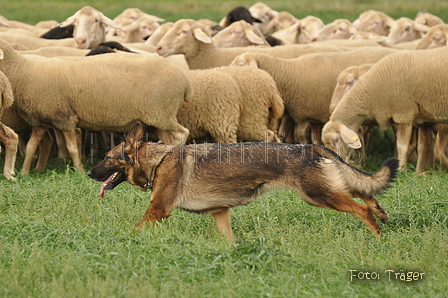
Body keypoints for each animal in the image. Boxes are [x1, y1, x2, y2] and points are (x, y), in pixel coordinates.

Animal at [0, 37, 191, 172]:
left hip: (162, 113)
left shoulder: (65, 118)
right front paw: (24, 172)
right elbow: (31, 146)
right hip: (158, 117)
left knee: (182, 133)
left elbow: (72, 147)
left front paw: (79, 170)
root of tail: (184, 78)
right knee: (166, 139)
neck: (23, 70)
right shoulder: (41, 120)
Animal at [87, 121, 400, 242]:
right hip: (324, 192)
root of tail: (311, 147)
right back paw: (383, 214)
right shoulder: (220, 213)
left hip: (319, 196)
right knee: (364, 192)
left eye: (107, 157)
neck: (160, 159)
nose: (89, 174)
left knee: (362, 209)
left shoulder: (157, 211)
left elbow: (133, 231)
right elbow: (230, 241)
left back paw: (378, 237)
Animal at [231, 47, 400, 146]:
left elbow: (305, 136)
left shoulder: (311, 115)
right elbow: (311, 137)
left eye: (241, 65)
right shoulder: (312, 115)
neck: (288, 73)